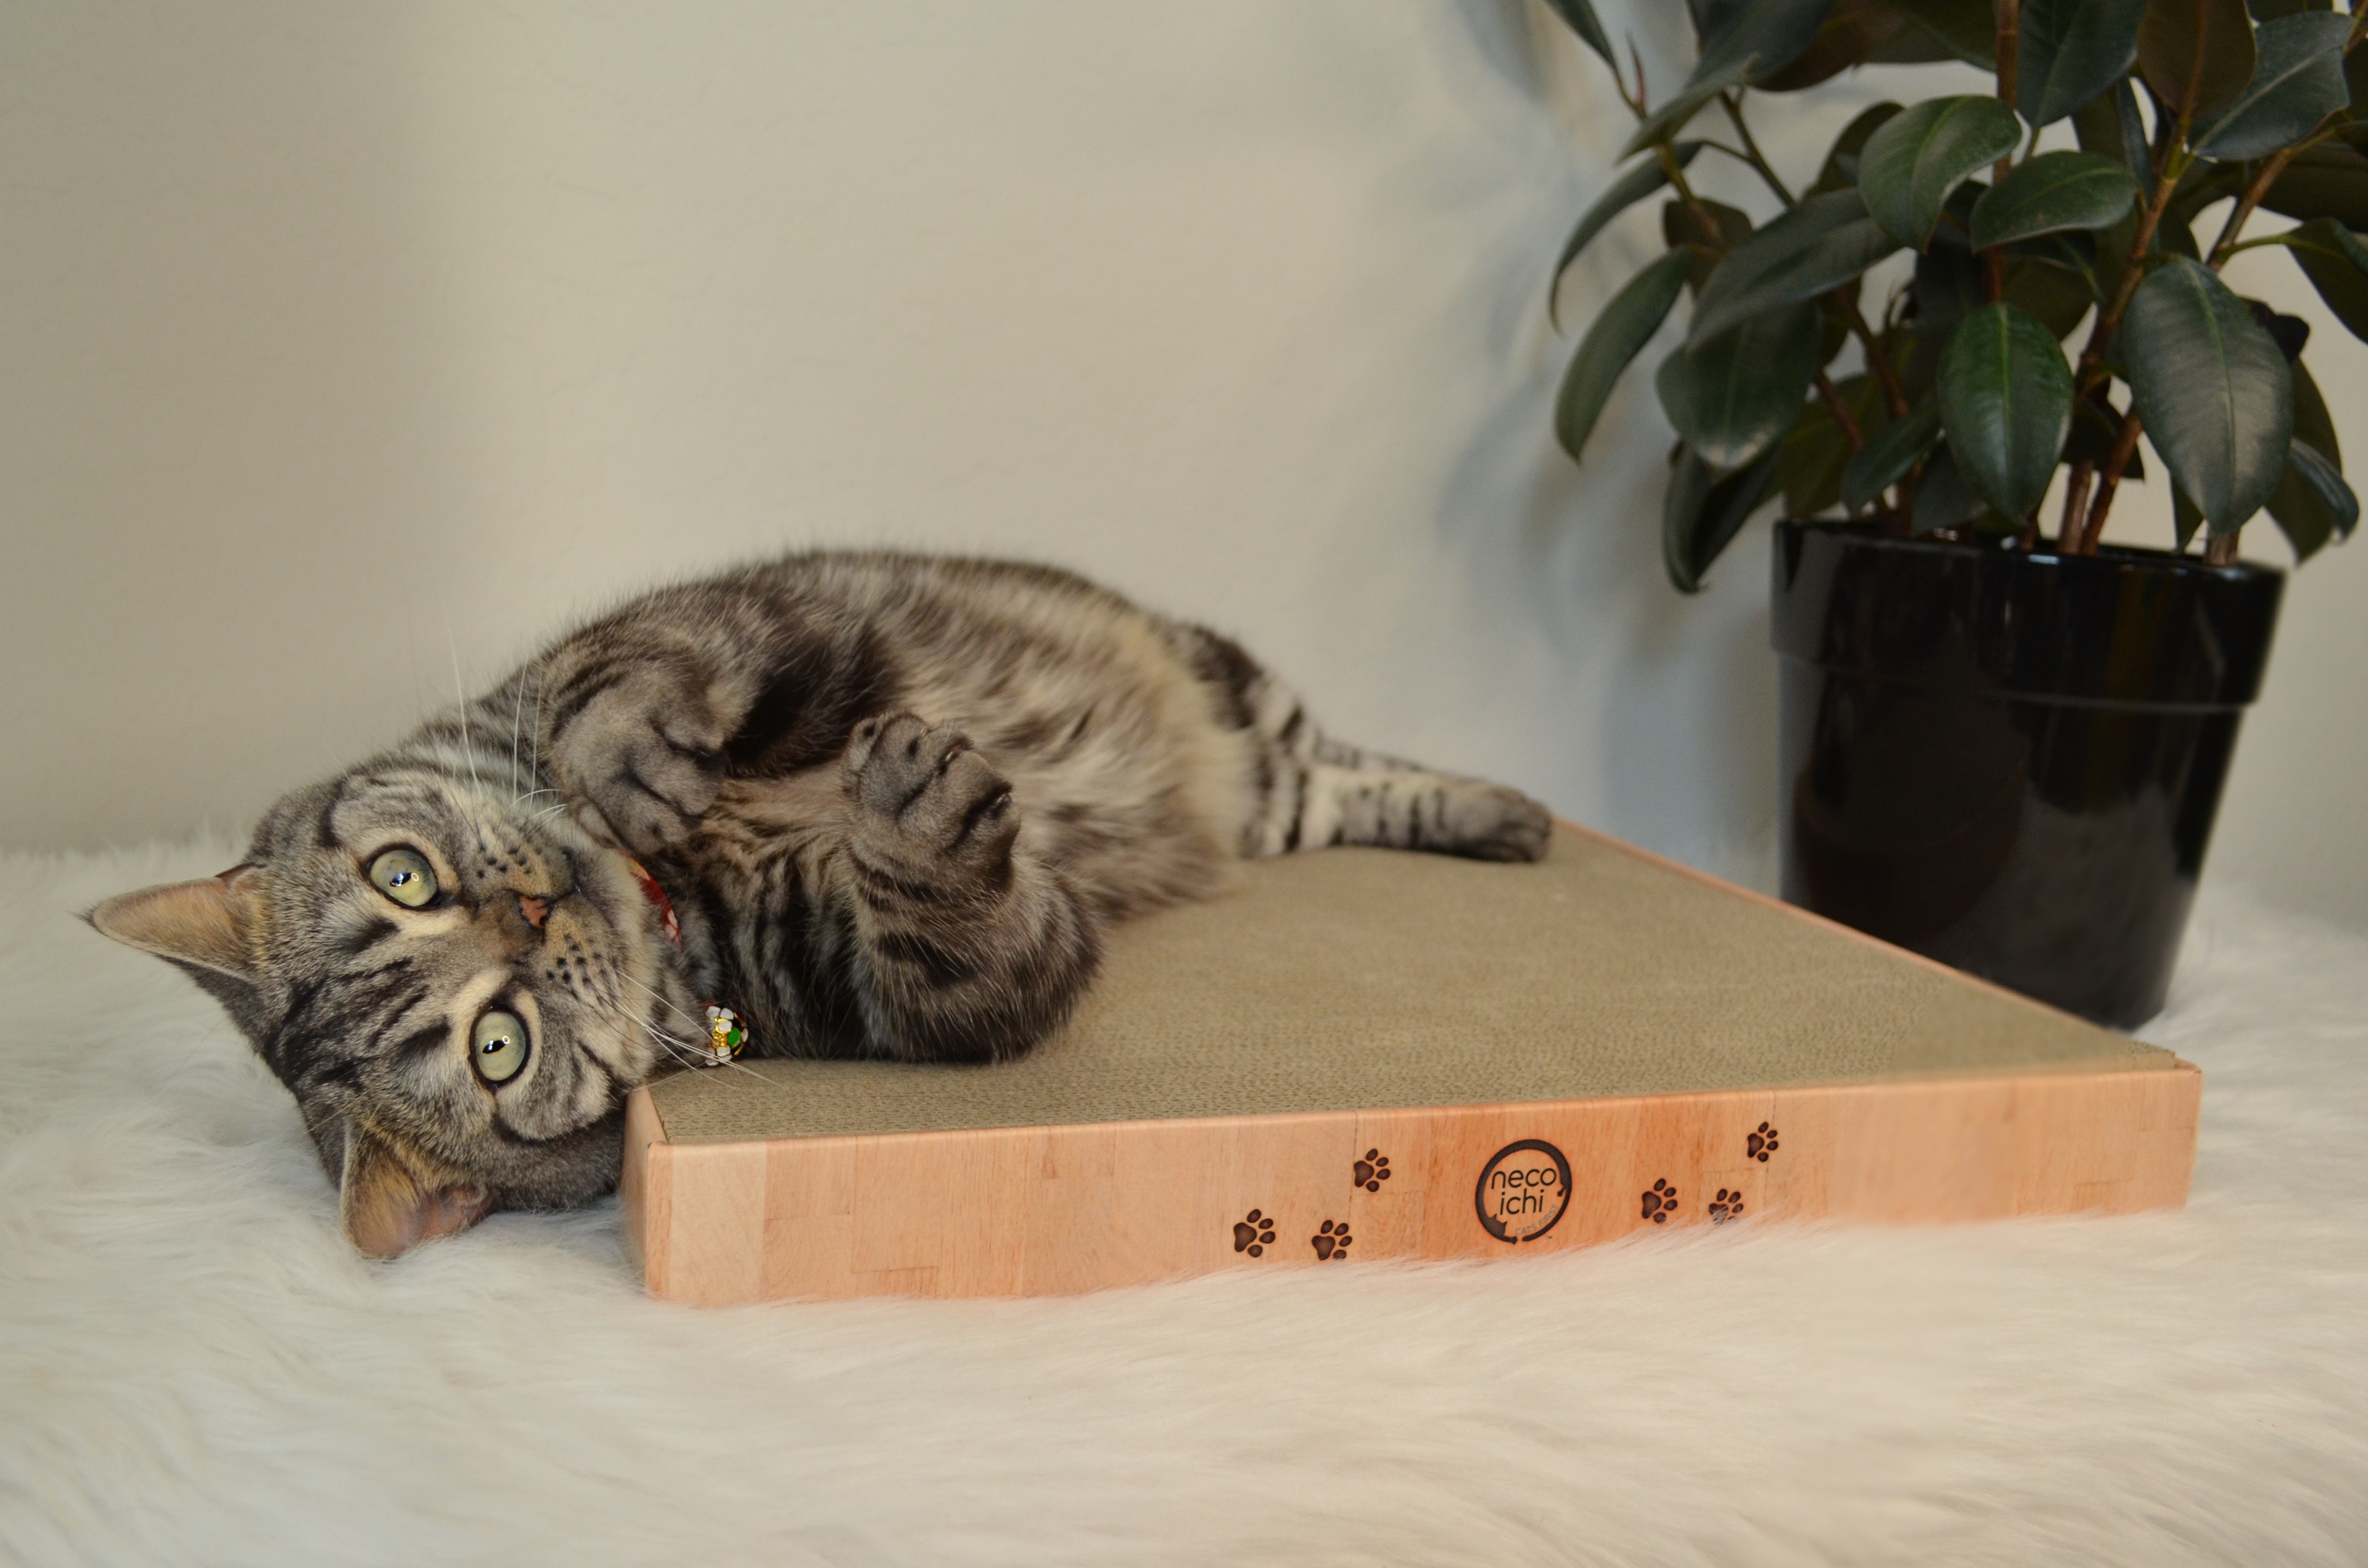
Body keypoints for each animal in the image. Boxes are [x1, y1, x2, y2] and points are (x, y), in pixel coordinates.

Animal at [92, 558, 1543, 1260]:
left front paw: (624, 765)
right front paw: (917, 826)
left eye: (406, 875)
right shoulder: (896, 981)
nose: (534, 905)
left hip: (1233, 682)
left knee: (1342, 756)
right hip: (1267, 790)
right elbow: (956, 939)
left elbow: (615, 684)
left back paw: (1507, 811)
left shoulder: (747, 625)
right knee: (1330, 789)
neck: (673, 890)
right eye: (497, 1048)